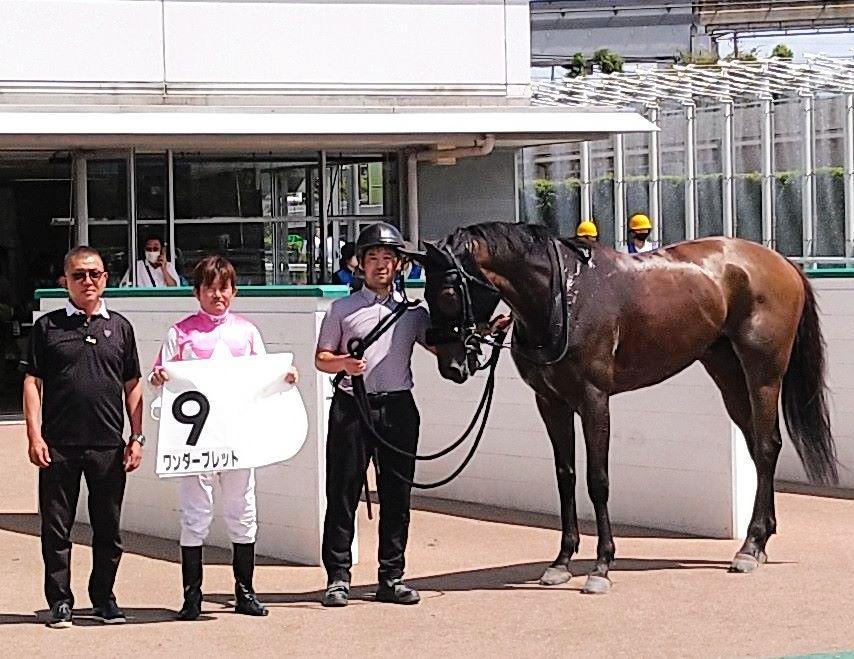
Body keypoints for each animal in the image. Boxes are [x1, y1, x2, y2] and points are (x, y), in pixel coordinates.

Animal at [418, 224, 840, 596]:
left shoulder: (594, 400)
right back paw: (761, 539)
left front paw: (602, 566)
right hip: (726, 372)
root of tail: (782, 262)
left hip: (763, 372)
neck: (563, 297)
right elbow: (565, 476)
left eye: (449, 291)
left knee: (767, 448)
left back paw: (750, 547)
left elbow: (598, 480)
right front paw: (561, 562)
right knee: (756, 447)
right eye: (426, 290)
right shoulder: (551, 403)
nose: (451, 366)